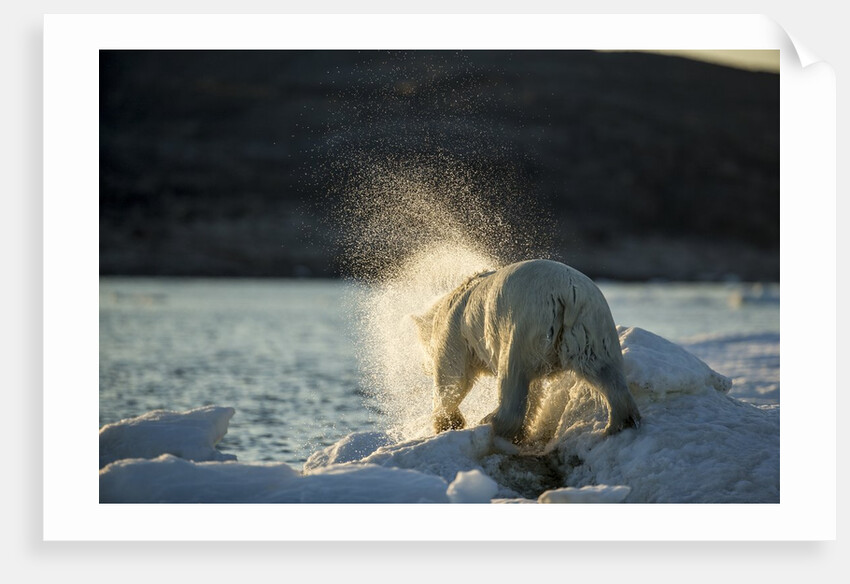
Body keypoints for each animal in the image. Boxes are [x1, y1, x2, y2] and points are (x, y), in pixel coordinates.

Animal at [412, 259, 641, 443]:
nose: (424, 367)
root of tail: (566, 294)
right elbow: (535, 390)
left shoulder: (454, 332)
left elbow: (453, 378)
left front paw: (449, 422)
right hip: (592, 327)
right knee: (605, 371)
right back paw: (618, 423)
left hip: (524, 324)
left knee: (512, 377)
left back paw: (493, 421)